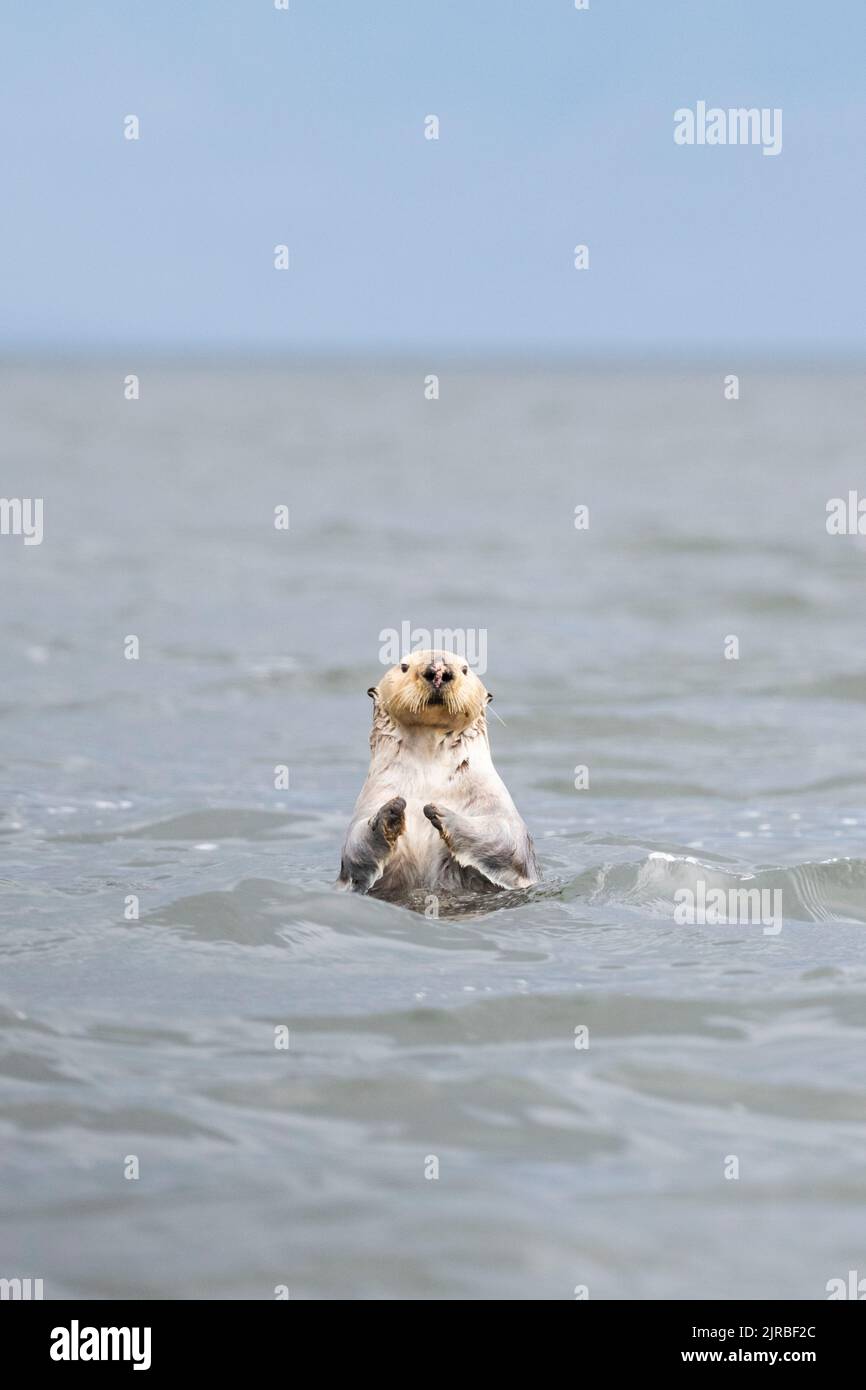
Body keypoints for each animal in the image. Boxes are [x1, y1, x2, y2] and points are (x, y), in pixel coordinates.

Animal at [338, 650, 539, 901]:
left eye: (465, 669)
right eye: (403, 666)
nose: (438, 671)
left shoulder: (495, 800)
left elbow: (507, 839)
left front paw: (440, 812)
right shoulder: (373, 796)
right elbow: (354, 846)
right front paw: (391, 811)